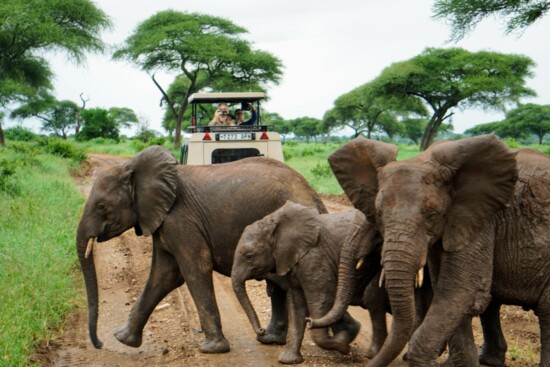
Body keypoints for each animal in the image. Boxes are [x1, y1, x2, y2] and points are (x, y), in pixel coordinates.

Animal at [77, 145, 328, 356]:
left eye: (102, 206)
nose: (99, 344)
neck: (134, 168)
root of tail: (314, 195)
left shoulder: (180, 220)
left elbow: (195, 269)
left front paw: (212, 348)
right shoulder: (163, 222)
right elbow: (164, 275)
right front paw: (123, 339)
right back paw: (271, 340)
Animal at [310, 136, 550, 367]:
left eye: (432, 215)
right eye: (379, 215)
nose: (310, 322)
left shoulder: (479, 220)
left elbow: (461, 291)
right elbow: (450, 295)